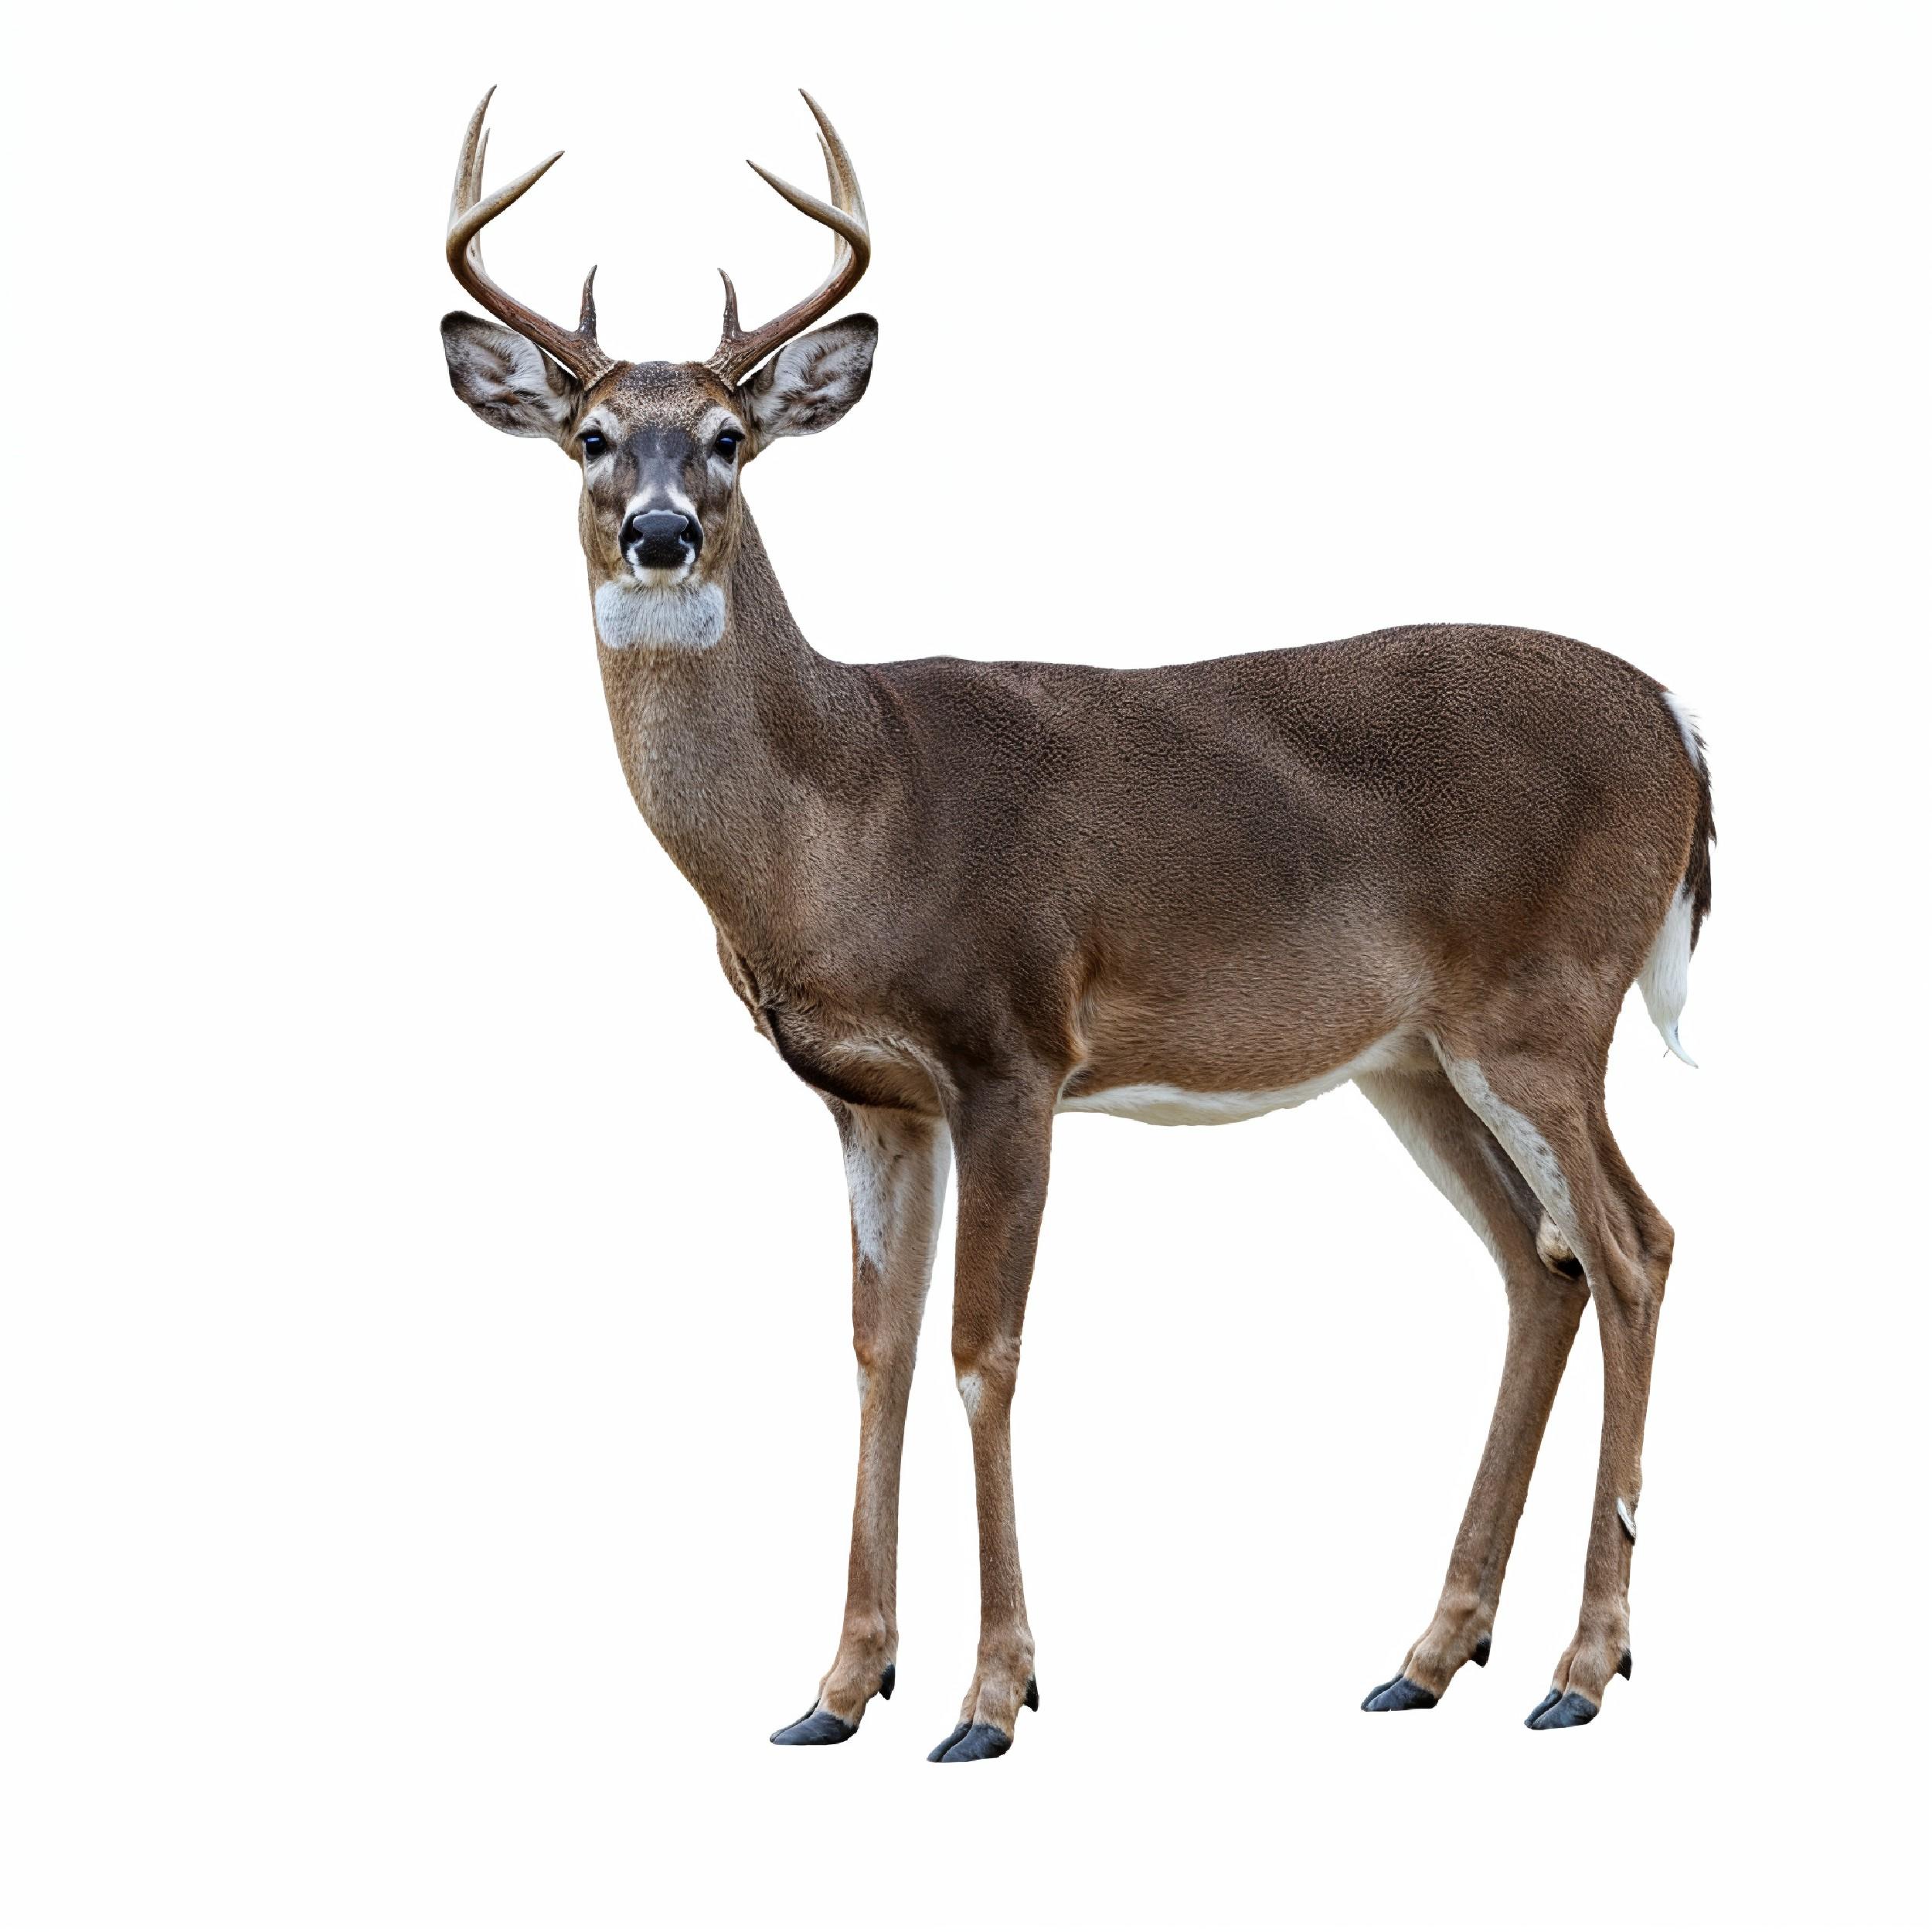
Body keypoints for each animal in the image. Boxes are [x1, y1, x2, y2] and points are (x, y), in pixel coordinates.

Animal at [440, 88, 1714, 1762]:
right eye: (590, 436)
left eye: (728, 438)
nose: (659, 533)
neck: (851, 807)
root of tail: (1678, 719)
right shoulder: (871, 1097)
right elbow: (877, 1348)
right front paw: (837, 1687)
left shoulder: (1014, 1045)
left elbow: (984, 1352)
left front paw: (991, 1695)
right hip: (1413, 1055)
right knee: (1538, 1262)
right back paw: (1431, 1654)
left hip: (1544, 1001)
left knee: (1634, 1243)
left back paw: (1582, 1664)